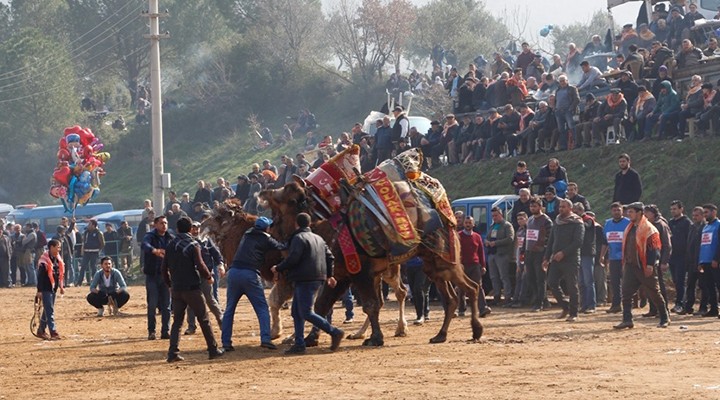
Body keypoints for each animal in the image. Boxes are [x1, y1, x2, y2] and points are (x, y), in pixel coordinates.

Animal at [200, 199, 408, 344]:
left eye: (218, 217)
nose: (202, 225)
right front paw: (284, 333)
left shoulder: (289, 278)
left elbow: (280, 302)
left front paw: (280, 333)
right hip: (380, 272)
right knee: (387, 297)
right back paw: (362, 333)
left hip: (381, 271)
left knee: (394, 294)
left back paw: (398, 328)